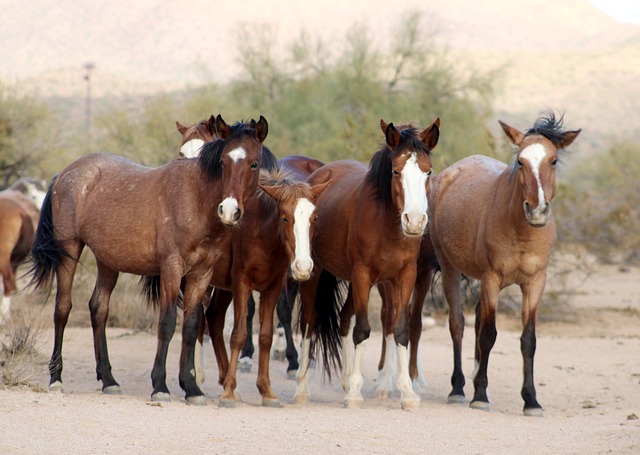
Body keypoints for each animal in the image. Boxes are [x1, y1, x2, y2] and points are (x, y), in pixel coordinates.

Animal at [29, 116, 270, 404]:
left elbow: (191, 326)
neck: (196, 198)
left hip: (108, 261)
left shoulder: (201, 275)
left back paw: (109, 380)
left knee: (99, 309)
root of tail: (65, 174)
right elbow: (167, 323)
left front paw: (192, 387)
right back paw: (56, 378)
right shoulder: (172, 269)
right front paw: (161, 386)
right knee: (62, 309)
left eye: (254, 163)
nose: (229, 210)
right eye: (223, 162)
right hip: (69, 250)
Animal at [296, 118, 440, 410]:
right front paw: (354, 394)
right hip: (316, 274)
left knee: (343, 319)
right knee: (308, 323)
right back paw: (303, 389)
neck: (386, 224)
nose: (415, 221)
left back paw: (345, 379)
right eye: (396, 171)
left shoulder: (405, 277)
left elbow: (400, 330)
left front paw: (408, 393)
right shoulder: (363, 275)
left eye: (428, 172)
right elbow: (362, 330)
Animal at [428, 111, 584, 416]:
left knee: (476, 323)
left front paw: (531, 400)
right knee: (458, 324)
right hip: (451, 269)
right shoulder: (492, 278)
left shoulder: (535, 282)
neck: (521, 231)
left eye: (553, 160)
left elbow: (528, 340)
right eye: (520, 161)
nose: (536, 210)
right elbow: (489, 334)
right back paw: (458, 388)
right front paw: (480, 396)